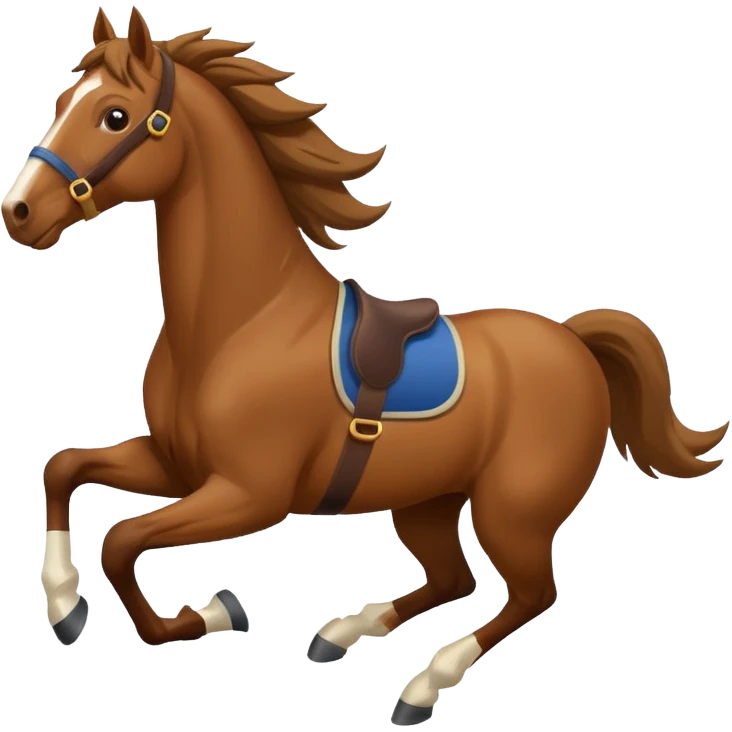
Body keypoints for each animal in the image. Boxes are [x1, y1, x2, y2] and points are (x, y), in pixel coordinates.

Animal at [3, 7, 728, 727]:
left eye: (115, 116)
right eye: (63, 102)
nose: (19, 211)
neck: (244, 320)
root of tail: (572, 339)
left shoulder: (248, 494)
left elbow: (123, 541)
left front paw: (209, 612)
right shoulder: (177, 465)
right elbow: (63, 469)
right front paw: (65, 606)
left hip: (511, 511)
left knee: (529, 594)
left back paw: (421, 687)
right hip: (428, 501)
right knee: (454, 577)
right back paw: (343, 632)